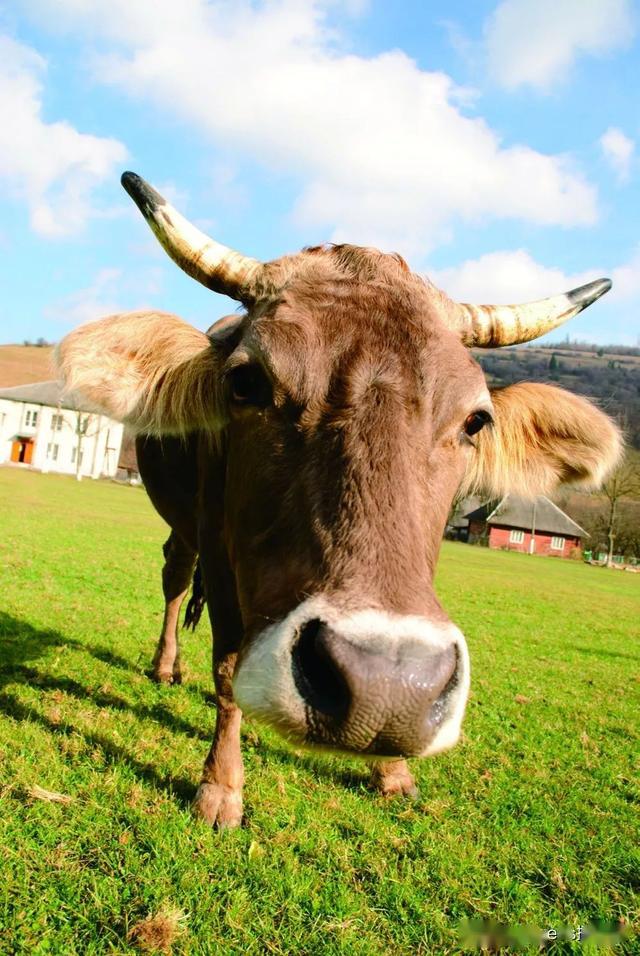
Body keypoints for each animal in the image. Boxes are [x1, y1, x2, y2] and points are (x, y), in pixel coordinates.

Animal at [57, 174, 624, 828]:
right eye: (245, 383)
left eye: (476, 420)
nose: (387, 686)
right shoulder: (222, 555)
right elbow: (226, 668)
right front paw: (221, 788)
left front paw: (395, 771)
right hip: (186, 526)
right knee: (176, 579)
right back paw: (166, 664)